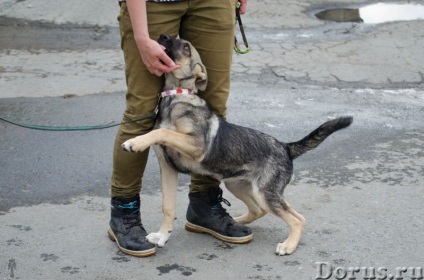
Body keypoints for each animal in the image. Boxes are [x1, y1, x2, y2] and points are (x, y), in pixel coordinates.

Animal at [121, 33, 352, 256]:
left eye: (186, 47)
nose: (162, 36)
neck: (175, 98)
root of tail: (286, 147)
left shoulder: (196, 145)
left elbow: (163, 131)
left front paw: (134, 142)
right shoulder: (167, 167)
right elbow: (167, 206)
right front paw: (162, 236)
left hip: (265, 193)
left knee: (298, 218)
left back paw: (288, 245)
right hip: (237, 184)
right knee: (260, 210)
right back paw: (237, 220)